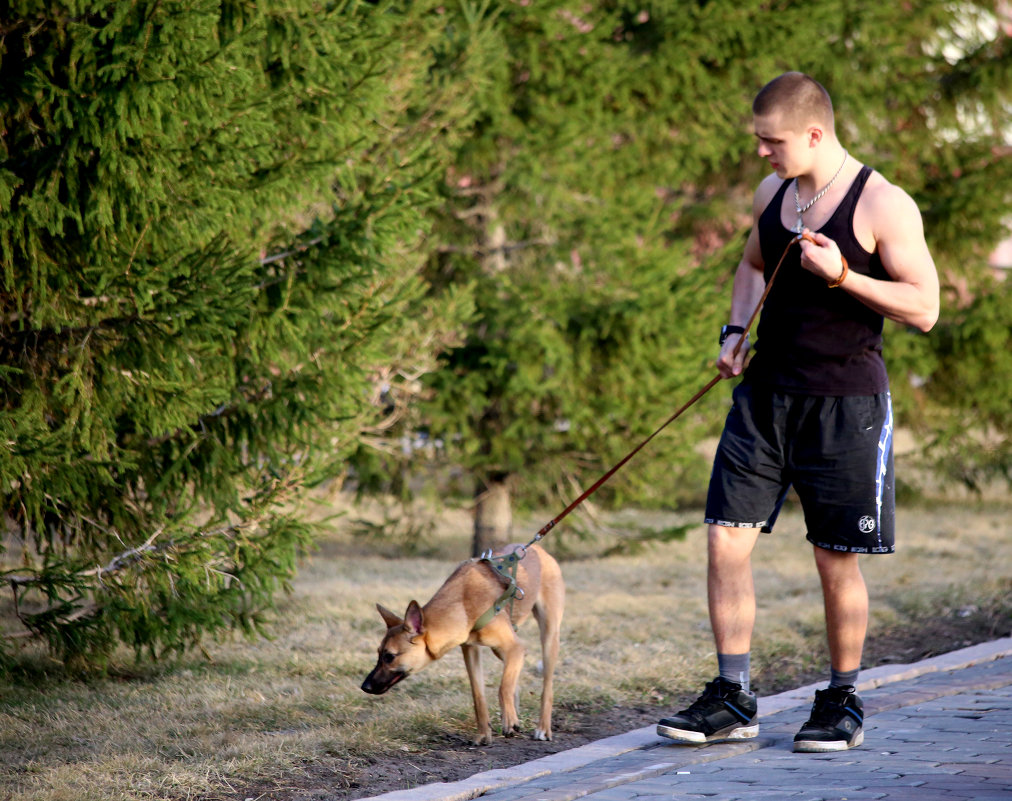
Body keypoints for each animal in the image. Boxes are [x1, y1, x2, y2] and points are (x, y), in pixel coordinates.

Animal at [360, 542, 566, 748]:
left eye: (389, 656)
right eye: (379, 654)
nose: (364, 687)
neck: (463, 605)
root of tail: (537, 548)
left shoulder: (514, 648)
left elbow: (502, 688)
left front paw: (508, 719)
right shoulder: (471, 651)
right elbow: (479, 695)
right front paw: (484, 734)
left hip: (548, 637)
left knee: (546, 688)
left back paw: (541, 727)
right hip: (502, 650)